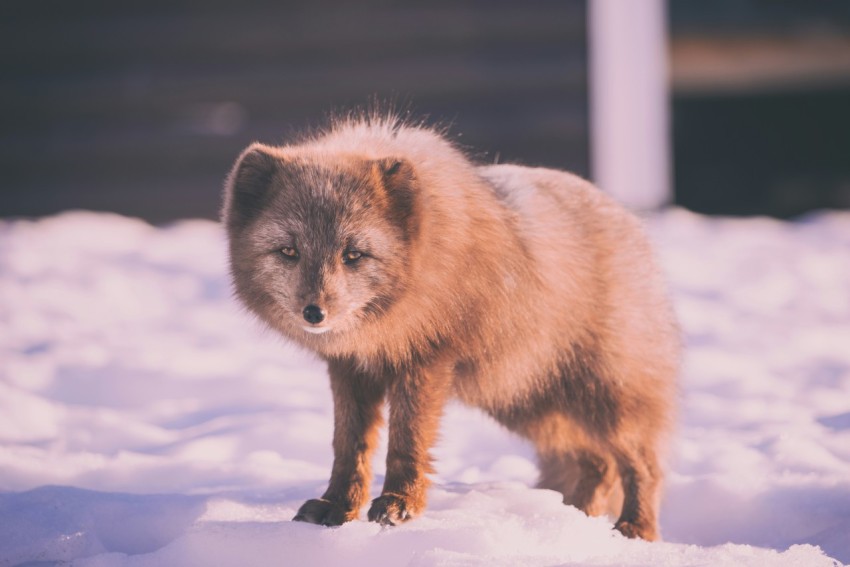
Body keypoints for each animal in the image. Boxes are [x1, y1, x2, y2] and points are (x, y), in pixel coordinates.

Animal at [222, 113, 679, 541]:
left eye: (353, 255)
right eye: (289, 251)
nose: (314, 313)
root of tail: (626, 215)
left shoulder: (426, 361)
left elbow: (407, 441)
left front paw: (400, 504)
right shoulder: (350, 369)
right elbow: (349, 446)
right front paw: (338, 506)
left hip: (603, 398)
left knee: (644, 464)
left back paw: (635, 529)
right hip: (527, 403)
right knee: (598, 464)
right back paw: (574, 523)